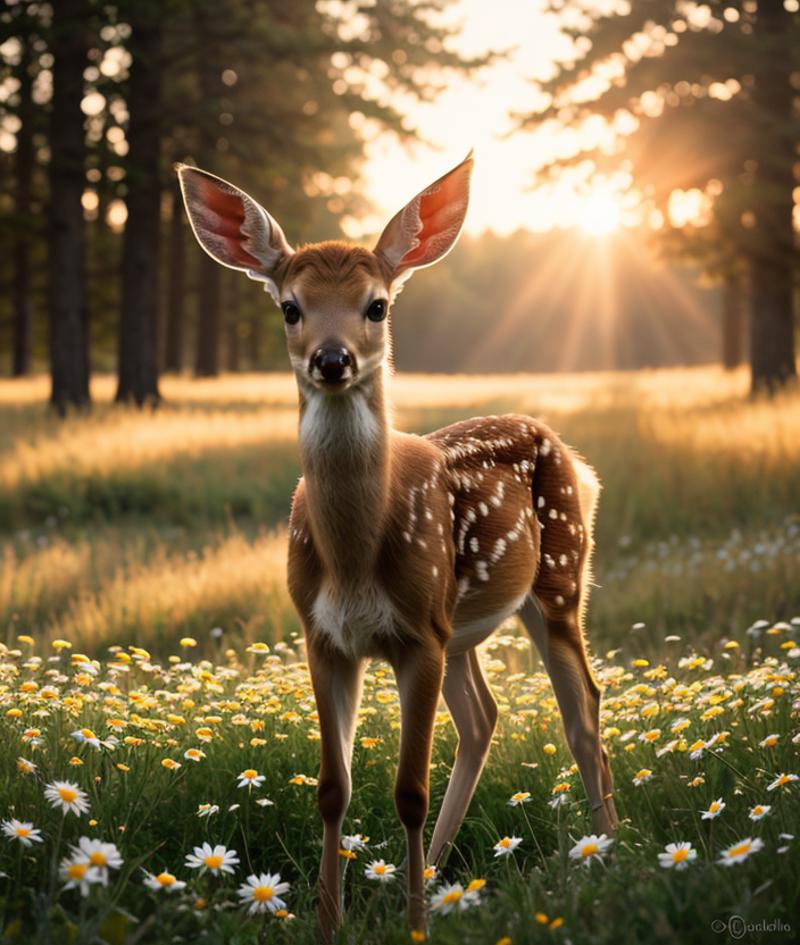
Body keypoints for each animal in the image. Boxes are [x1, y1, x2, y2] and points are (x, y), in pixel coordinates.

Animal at [180, 155, 620, 936]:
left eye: (376, 305)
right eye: (289, 306)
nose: (331, 359)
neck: (355, 557)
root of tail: (573, 456)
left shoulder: (417, 634)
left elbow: (408, 790)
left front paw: (415, 926)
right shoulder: (323, 634)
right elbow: (333, 788)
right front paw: (330, 922)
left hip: (559, 580)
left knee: (583, 713)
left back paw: (610, 860)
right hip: (463, 627)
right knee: (483, 718)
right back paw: (441, 874)